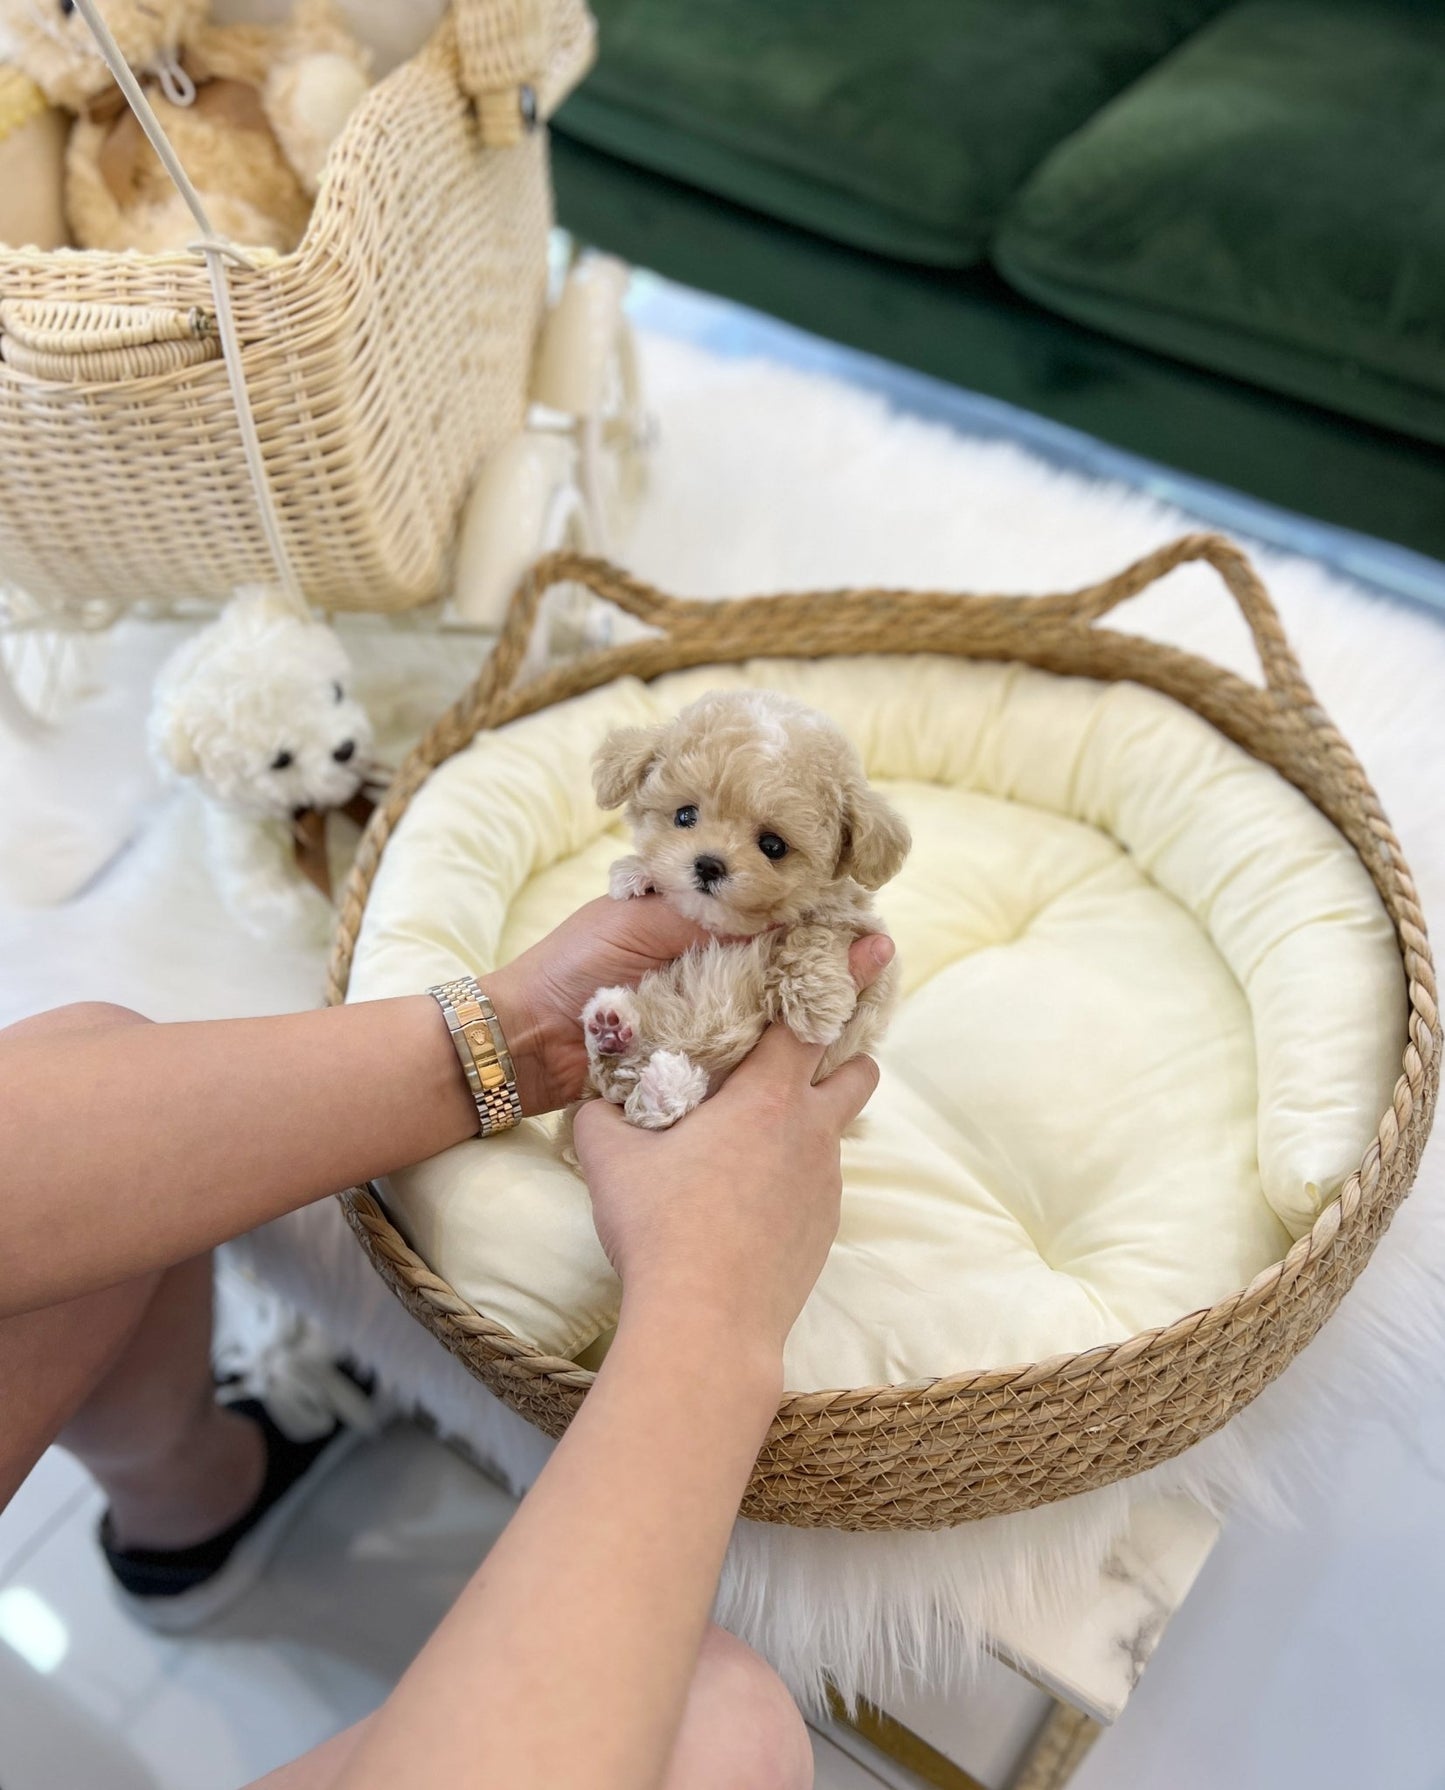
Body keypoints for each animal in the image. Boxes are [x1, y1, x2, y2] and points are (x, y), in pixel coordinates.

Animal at [572, 683, 902, 1131]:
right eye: (685, 815)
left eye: (773, 846)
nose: (709, 864)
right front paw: (635, 874)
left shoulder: (866, 939)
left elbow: (820, 929)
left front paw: (815, 1001)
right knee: (620, 1085)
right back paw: (615, 1029)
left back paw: (647, 1063)